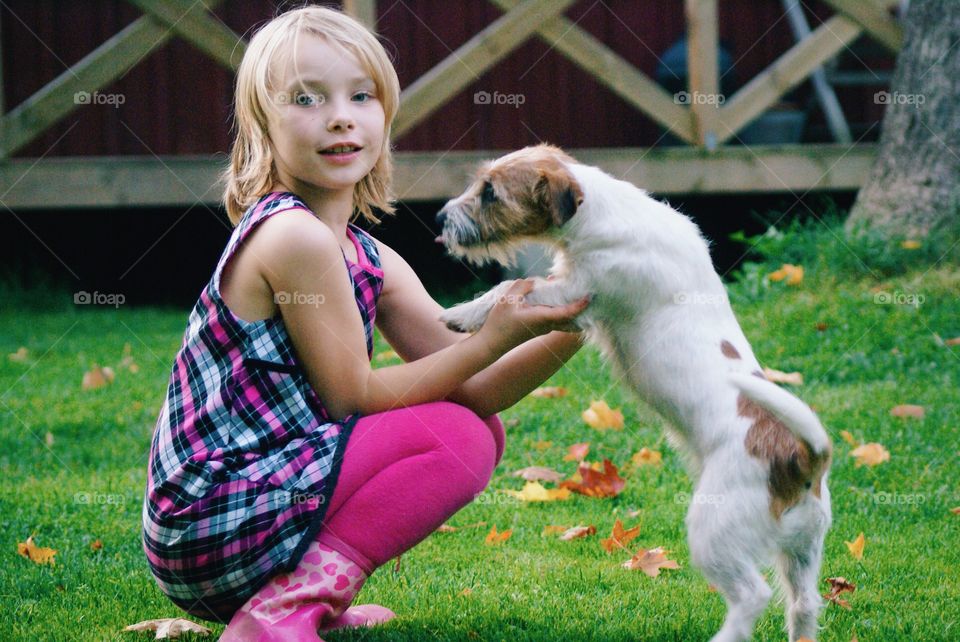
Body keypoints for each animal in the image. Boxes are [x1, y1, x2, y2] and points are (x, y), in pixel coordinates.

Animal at [436, 145, 832, 640]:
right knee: (804, 604)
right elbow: (513, 286)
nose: (440, 218)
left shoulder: (572, 292)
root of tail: (803, 457)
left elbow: (510, 287)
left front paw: (463, 314)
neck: (599, 212)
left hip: (714, 532)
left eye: (490, 192)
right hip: (802, 550)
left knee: (751, 596)